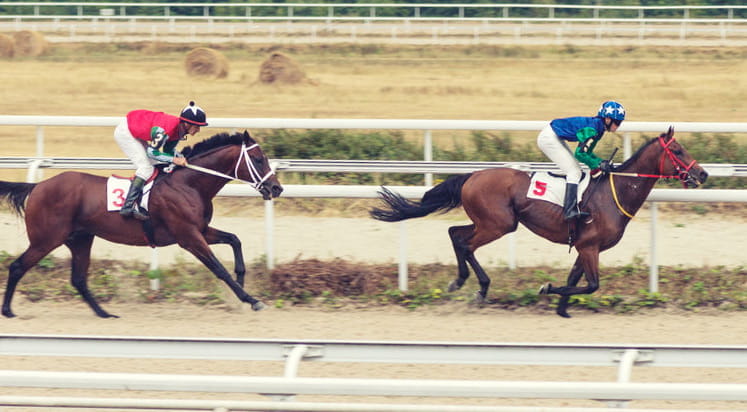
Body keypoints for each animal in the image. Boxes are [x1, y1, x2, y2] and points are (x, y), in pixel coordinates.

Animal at [0, 130, 284, 318]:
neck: (189, 185)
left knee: (78, 279)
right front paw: (251, 299)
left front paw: (242, 281)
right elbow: (218, 268)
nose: (277, 188)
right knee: (17, 266)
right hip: (46, 239)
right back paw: (8, 310)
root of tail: (37, 186)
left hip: (80, 238)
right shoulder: (189, 237)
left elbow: (235, 239)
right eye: (258, 159)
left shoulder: (201, 230)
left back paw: (104, 313)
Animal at [372, 127, 712, 318]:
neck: (614, 193)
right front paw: (547, 288)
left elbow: (578, 280)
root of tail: (473, 175)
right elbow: (591, 285)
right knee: (465, 243)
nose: (703, 173)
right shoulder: (590, 247)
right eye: (678, 150)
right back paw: (478, 287)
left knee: (455, 233)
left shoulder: (587, 247)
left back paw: (462, 281)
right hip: (498, 224)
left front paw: (562, 309)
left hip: (490, 222)